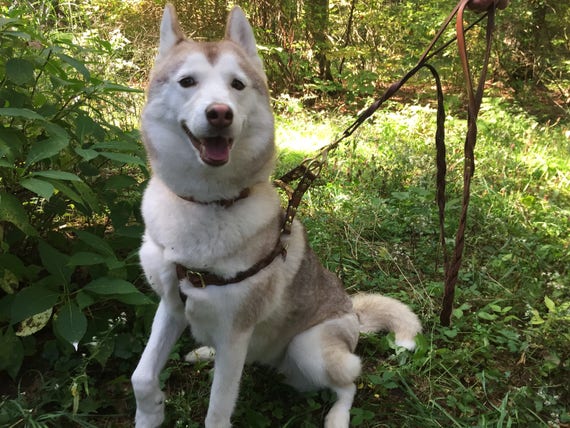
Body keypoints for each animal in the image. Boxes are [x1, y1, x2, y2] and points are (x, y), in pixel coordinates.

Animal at [131, 4, 420, 428]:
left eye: (237, 85)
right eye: (187, 82)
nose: (220, 114)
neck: (207, 204)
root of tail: (353, 314)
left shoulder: (236, 332)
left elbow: (217, 413)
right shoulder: (170, 305)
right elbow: (141, 376)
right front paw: (150, 411)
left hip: (309, 348)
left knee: (351, 381)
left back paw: (338, 416)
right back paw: (205, 352)